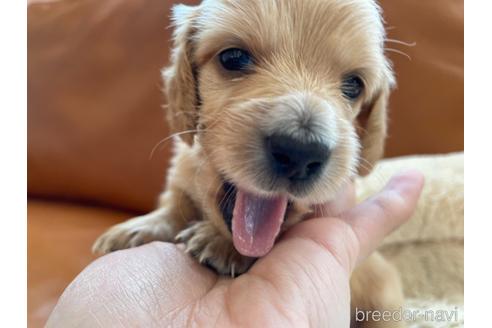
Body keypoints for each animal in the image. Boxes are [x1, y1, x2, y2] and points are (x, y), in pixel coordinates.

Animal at [95, 0, 404, 326]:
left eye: (353, 85)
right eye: (233, 58)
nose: (300, 152)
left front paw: (224, 247)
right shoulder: (181, 174)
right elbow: (173, 205)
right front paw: (137, 229)